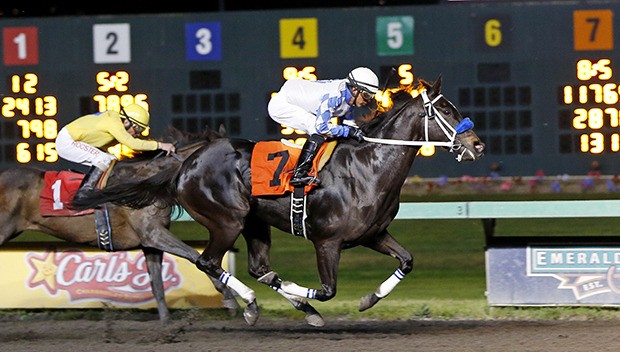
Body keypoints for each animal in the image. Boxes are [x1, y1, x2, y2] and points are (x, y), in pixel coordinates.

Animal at [0, 127, 240, 324]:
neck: (145, 183)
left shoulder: (151, 243)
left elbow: (157, 284)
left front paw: (166, 325)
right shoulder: (153, 234)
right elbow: (195, 256)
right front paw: (231, 300)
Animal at [75, 75, 486, 326]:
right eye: (445, 109)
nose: (478, 144)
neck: (369, 165)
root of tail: (186, 162)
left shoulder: (373, 234)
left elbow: (408, 261)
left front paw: (368, 298)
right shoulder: (327, 241)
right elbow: (327, 290)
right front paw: (306, 300)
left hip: (254, 223)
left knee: (256, 267)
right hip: (228, 219)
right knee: (208, 261)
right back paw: (251, 305)